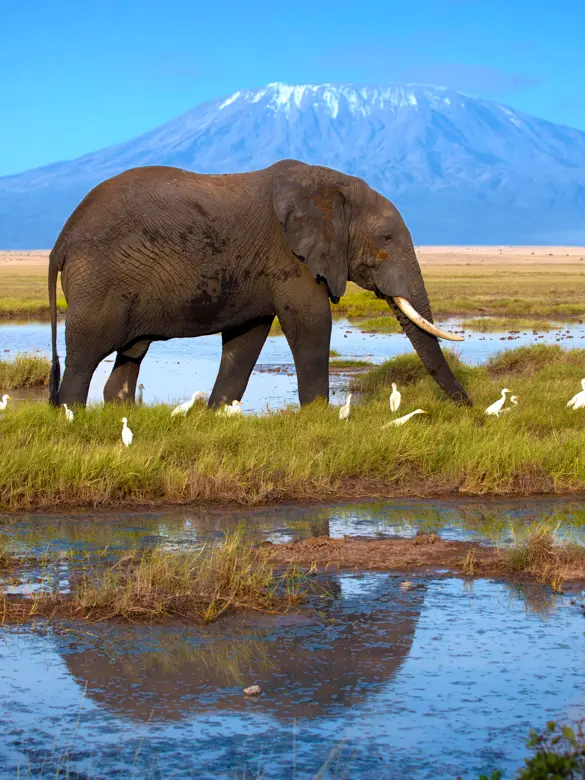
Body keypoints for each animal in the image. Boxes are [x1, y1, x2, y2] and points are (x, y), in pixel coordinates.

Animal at [48, 159, 470, 407]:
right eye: (386, 239)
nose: (468, 408)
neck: (329, 185)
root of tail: (61, 239)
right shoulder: (289, 257)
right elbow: (311, 324)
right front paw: (318, 417)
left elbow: (246, 338)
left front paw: (216, 413)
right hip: (98, 279)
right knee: (85, 355)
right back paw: (73, 417)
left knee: (131, 354)